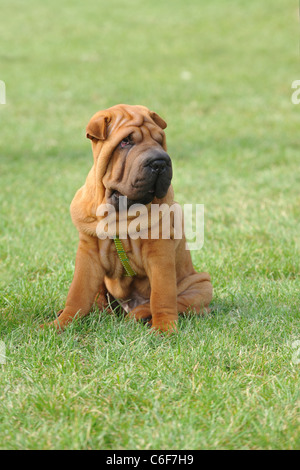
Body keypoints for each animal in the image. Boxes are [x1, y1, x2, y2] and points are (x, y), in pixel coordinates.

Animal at [48, 103, 212, 330]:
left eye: (159, 140)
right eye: (125, 141)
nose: (160, 162)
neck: (119, 214)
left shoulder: (159, 252)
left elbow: (162, 295)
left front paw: (164, 328)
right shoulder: (88, 253)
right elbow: (78, 294)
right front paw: (61, 324)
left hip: (201, 283)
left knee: (178, 301)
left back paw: (140, 314)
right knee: (100, 301)